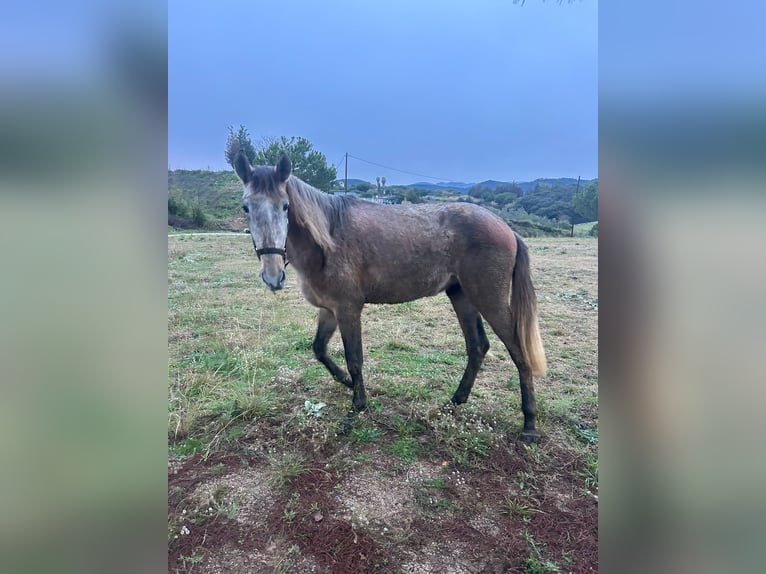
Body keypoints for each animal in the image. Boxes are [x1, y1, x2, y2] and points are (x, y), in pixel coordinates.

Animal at [227, 143, 547, 442]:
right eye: (246, 207)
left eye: (285, 206)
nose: (272, 276)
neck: (328, 240)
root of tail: (506, 227)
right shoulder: (328, 310)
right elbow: (319, 349)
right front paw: (345, 381)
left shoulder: (348, 310)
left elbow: (354, 358)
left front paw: (356, 407)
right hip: (462, 296)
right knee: (477, 347)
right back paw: (453, 402)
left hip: (489, 300)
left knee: (518, 351)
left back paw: (529, 424)